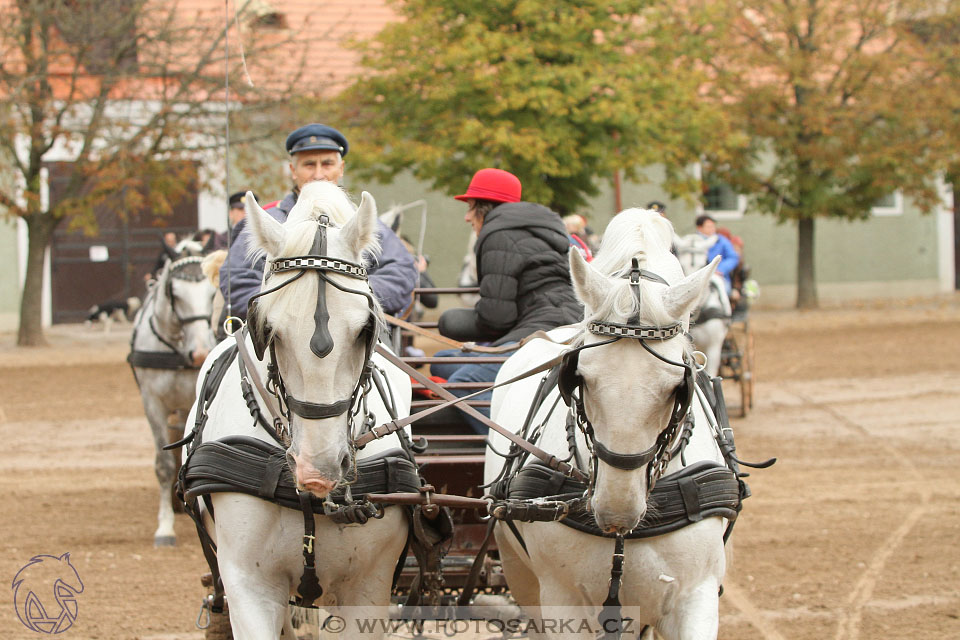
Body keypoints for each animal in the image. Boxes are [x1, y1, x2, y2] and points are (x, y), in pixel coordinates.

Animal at [127, 238, 216, 548]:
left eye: (212, 293)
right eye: (175, 293)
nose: (199, 352)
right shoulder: (152, 403)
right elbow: (163, 464)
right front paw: (164, 526)